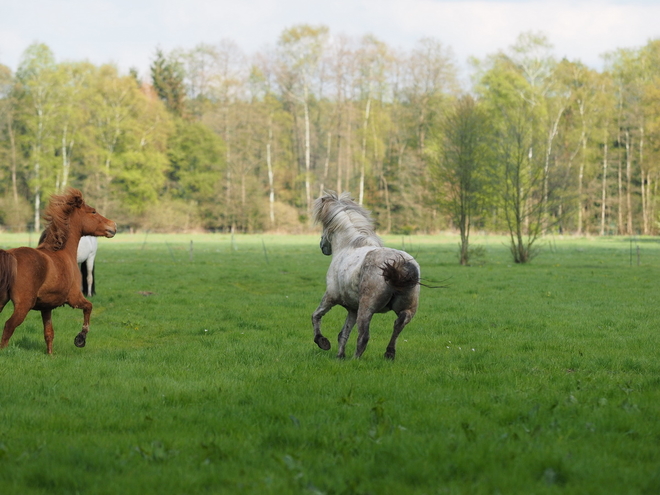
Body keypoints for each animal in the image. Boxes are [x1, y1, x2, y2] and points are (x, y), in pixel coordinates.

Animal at [0, 188, 116, 354]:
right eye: (93, 211)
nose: (113, 226)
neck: (64, 252)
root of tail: (10, 256)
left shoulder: (46, 307)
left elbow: (49, 333)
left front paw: (50, 355)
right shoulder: (74, 298)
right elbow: (89, 307)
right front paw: (80, 339)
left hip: (2, 300)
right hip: (23, 305)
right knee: (9, 326)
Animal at [312, 191, 420, 360]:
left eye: (324, 227)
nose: (323, 246)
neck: (349, 245)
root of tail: (399, 266)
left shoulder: (330, 297)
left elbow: (316, 316)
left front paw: (322, 342)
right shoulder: (352, 308)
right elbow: (343, 334)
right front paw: (340, 356)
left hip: (366, 309)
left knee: (363, 336)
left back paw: (355, 360)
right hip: (407, 309)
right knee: (398, 325)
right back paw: (389, 354)